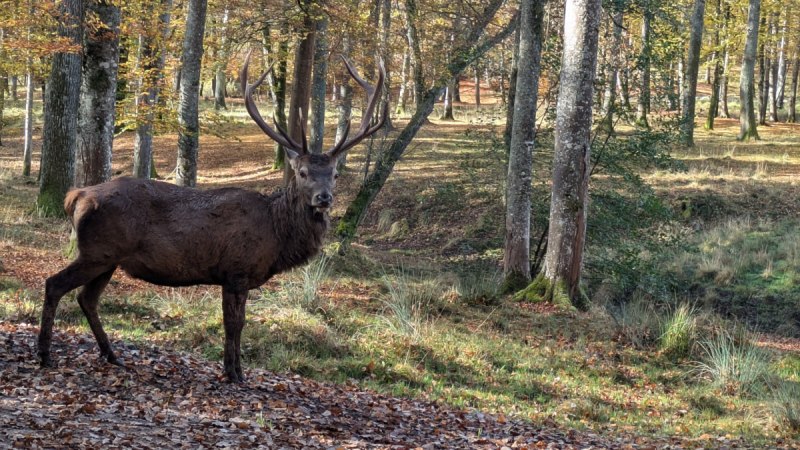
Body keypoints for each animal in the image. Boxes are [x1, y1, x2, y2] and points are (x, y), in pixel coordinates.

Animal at [37, 53, 387, 382]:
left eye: (335, 174)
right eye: (302, 173)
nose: (323, 198)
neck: (276, 235)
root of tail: (76, 196)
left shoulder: (234, 276)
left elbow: (237, 323)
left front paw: (234, 370)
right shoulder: (236, 270)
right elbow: (234, 323)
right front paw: (234, 373)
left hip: (108, 258)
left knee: (86, 298)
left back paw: (111, 354)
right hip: (97, 252)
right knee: (55, 284)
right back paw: (44, 354)